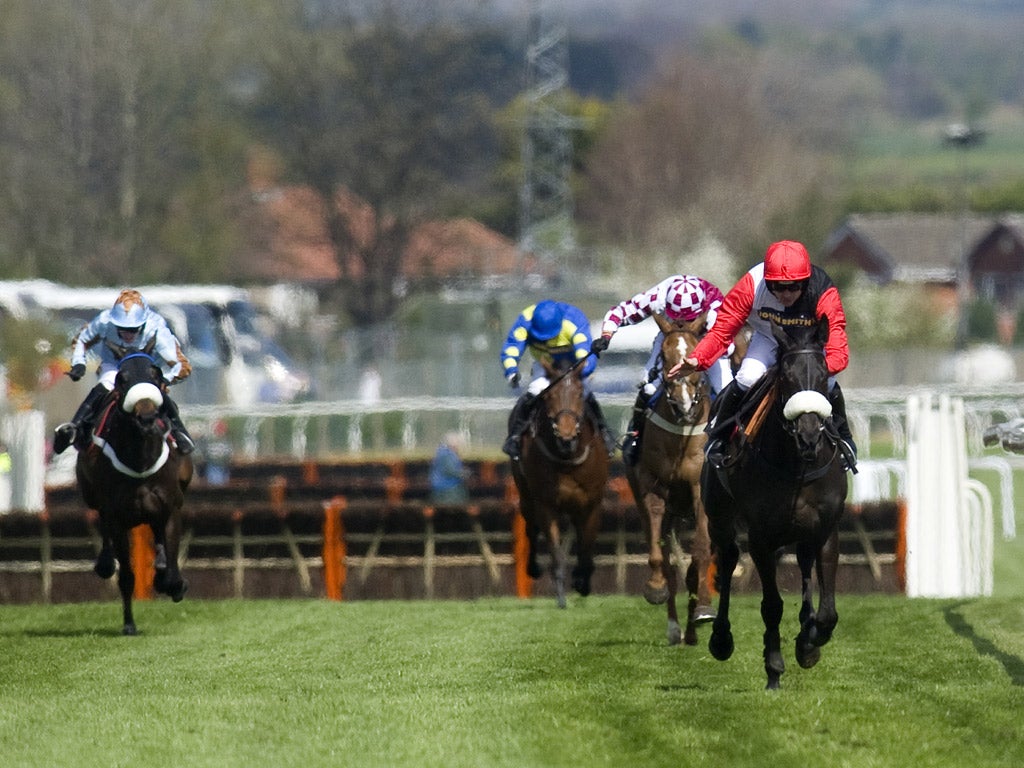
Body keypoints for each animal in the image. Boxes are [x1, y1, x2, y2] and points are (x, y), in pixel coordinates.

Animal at [75, 352, 192, 634]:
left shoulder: (170, 511)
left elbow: (172, 569)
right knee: (102, 523)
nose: (147, 418)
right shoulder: (117, 517)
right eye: (122, 379)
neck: (141, 459)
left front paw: (173, 584)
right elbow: (127, 576)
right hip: (93, 496)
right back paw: (105, 563)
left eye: (156, 376)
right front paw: (129, 624)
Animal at [505, 354, 602, 606]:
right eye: (549, 396)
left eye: (579, 393)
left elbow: (586, 544)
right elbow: (555, 548)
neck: (566, 458)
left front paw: (583, 580)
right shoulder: (546, 504)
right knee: (531, 528)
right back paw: (533, 568)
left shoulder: (591, 503)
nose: (566, 435)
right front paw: (560, 593)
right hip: (525, 495)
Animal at [622, 311, 712, 643]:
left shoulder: (700, 487)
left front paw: (704, 610)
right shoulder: (652, 486)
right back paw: (677, 629)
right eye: (664, 355)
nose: (683, 401)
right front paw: (656, 588)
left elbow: (701, 552)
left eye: (696, 354)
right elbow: (659, 553)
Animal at [704, 319, 847, 692]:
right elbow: (771, 606)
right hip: (719, 518)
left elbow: (828, 612)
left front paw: (810, 643)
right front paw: (774, 668)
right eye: (787, 376)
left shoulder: (826, 530)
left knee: (805, 565)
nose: (809, 434)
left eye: (824, 375)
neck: (798, 465)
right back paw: (720, 639)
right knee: (727, 560)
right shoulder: (761, 538)